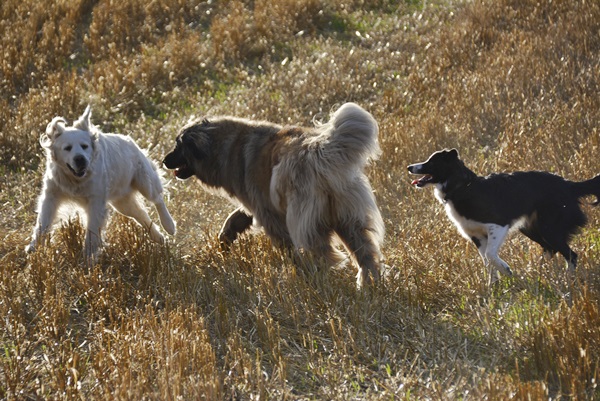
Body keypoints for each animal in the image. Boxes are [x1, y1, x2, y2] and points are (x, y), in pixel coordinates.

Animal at [27, 104, 176, 258]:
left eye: (85, 146)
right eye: (67, 148)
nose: (80, 159)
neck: (76, 180)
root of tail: (129, 140)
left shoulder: (96, 202)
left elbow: (92, 231)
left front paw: (88, 256)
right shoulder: (52, 196)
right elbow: (43, 223)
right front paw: (34, 248)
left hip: (144, 182)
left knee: (158, 199)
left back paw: (169, 226)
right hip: (122, 203)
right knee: (141, 214)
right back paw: (159, 237)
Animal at [163, 101, 384, 286]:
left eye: (178, 146)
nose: (164, 160)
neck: (226, 147)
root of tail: (319, 150)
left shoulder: (267, 213)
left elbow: (285, 244)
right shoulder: (254, 204)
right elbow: (233, 220)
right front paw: (224, 241)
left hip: (305, 220)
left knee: (322, 251)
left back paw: (318, 277)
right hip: (347, 219)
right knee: (365, 253)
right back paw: (369, 283)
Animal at [408, 148, 600, 282]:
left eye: (431, 162)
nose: (409, 167)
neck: (461, 187)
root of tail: (569, 185)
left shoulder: (497, 225)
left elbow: (491, 256)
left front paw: (506, 270)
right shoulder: (477, 236)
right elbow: (487, 263)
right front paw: (493, 288)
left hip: (549, 228)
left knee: (571, 255)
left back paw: (568, 281)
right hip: (531, 228)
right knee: (550, 250)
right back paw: (541, 273)